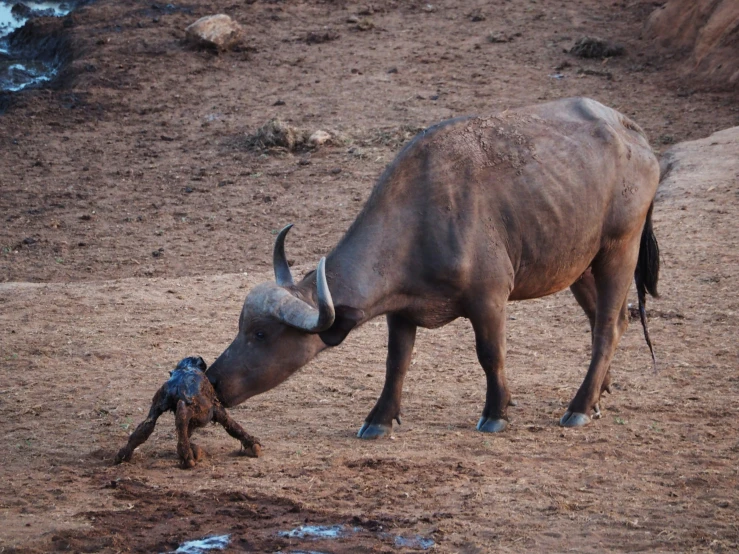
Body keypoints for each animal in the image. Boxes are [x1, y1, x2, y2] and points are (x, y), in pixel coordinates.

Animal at [115, 356, 264, 468]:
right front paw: (253, 445)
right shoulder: (216, 409)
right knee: (182, 419)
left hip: (158, 404)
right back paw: (187, 457)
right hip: (202, 413)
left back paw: (123, 455)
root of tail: (178, 383)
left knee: (146, 427)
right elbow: (231, 425)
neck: (187, 367)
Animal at [207, 98, 660, 436]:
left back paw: (579, 406)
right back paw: (598, 394)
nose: (212, 380)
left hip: (619, 249)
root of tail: (631, 132)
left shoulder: (489, 299)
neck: (422, 216)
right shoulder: (401, 310)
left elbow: (490, 353)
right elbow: (396, 362)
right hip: (578, 264)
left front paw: (496, 412)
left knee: (607, 326)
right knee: (610, 319)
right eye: (240, 328)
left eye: (261, 334)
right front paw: (379, 418)